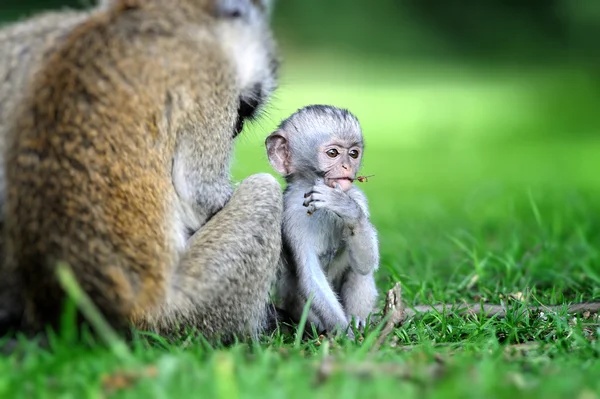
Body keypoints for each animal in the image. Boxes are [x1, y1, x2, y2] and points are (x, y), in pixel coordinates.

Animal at [268, 104, 380, 336]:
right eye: (333, 153)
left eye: (353, 154)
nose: (347, 167)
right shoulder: (291, 213)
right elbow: (311, 277)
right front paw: (345, 335)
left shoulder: (357, 196)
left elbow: (365, 264)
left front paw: (344, 207)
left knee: (358, 272)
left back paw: (359, 321)